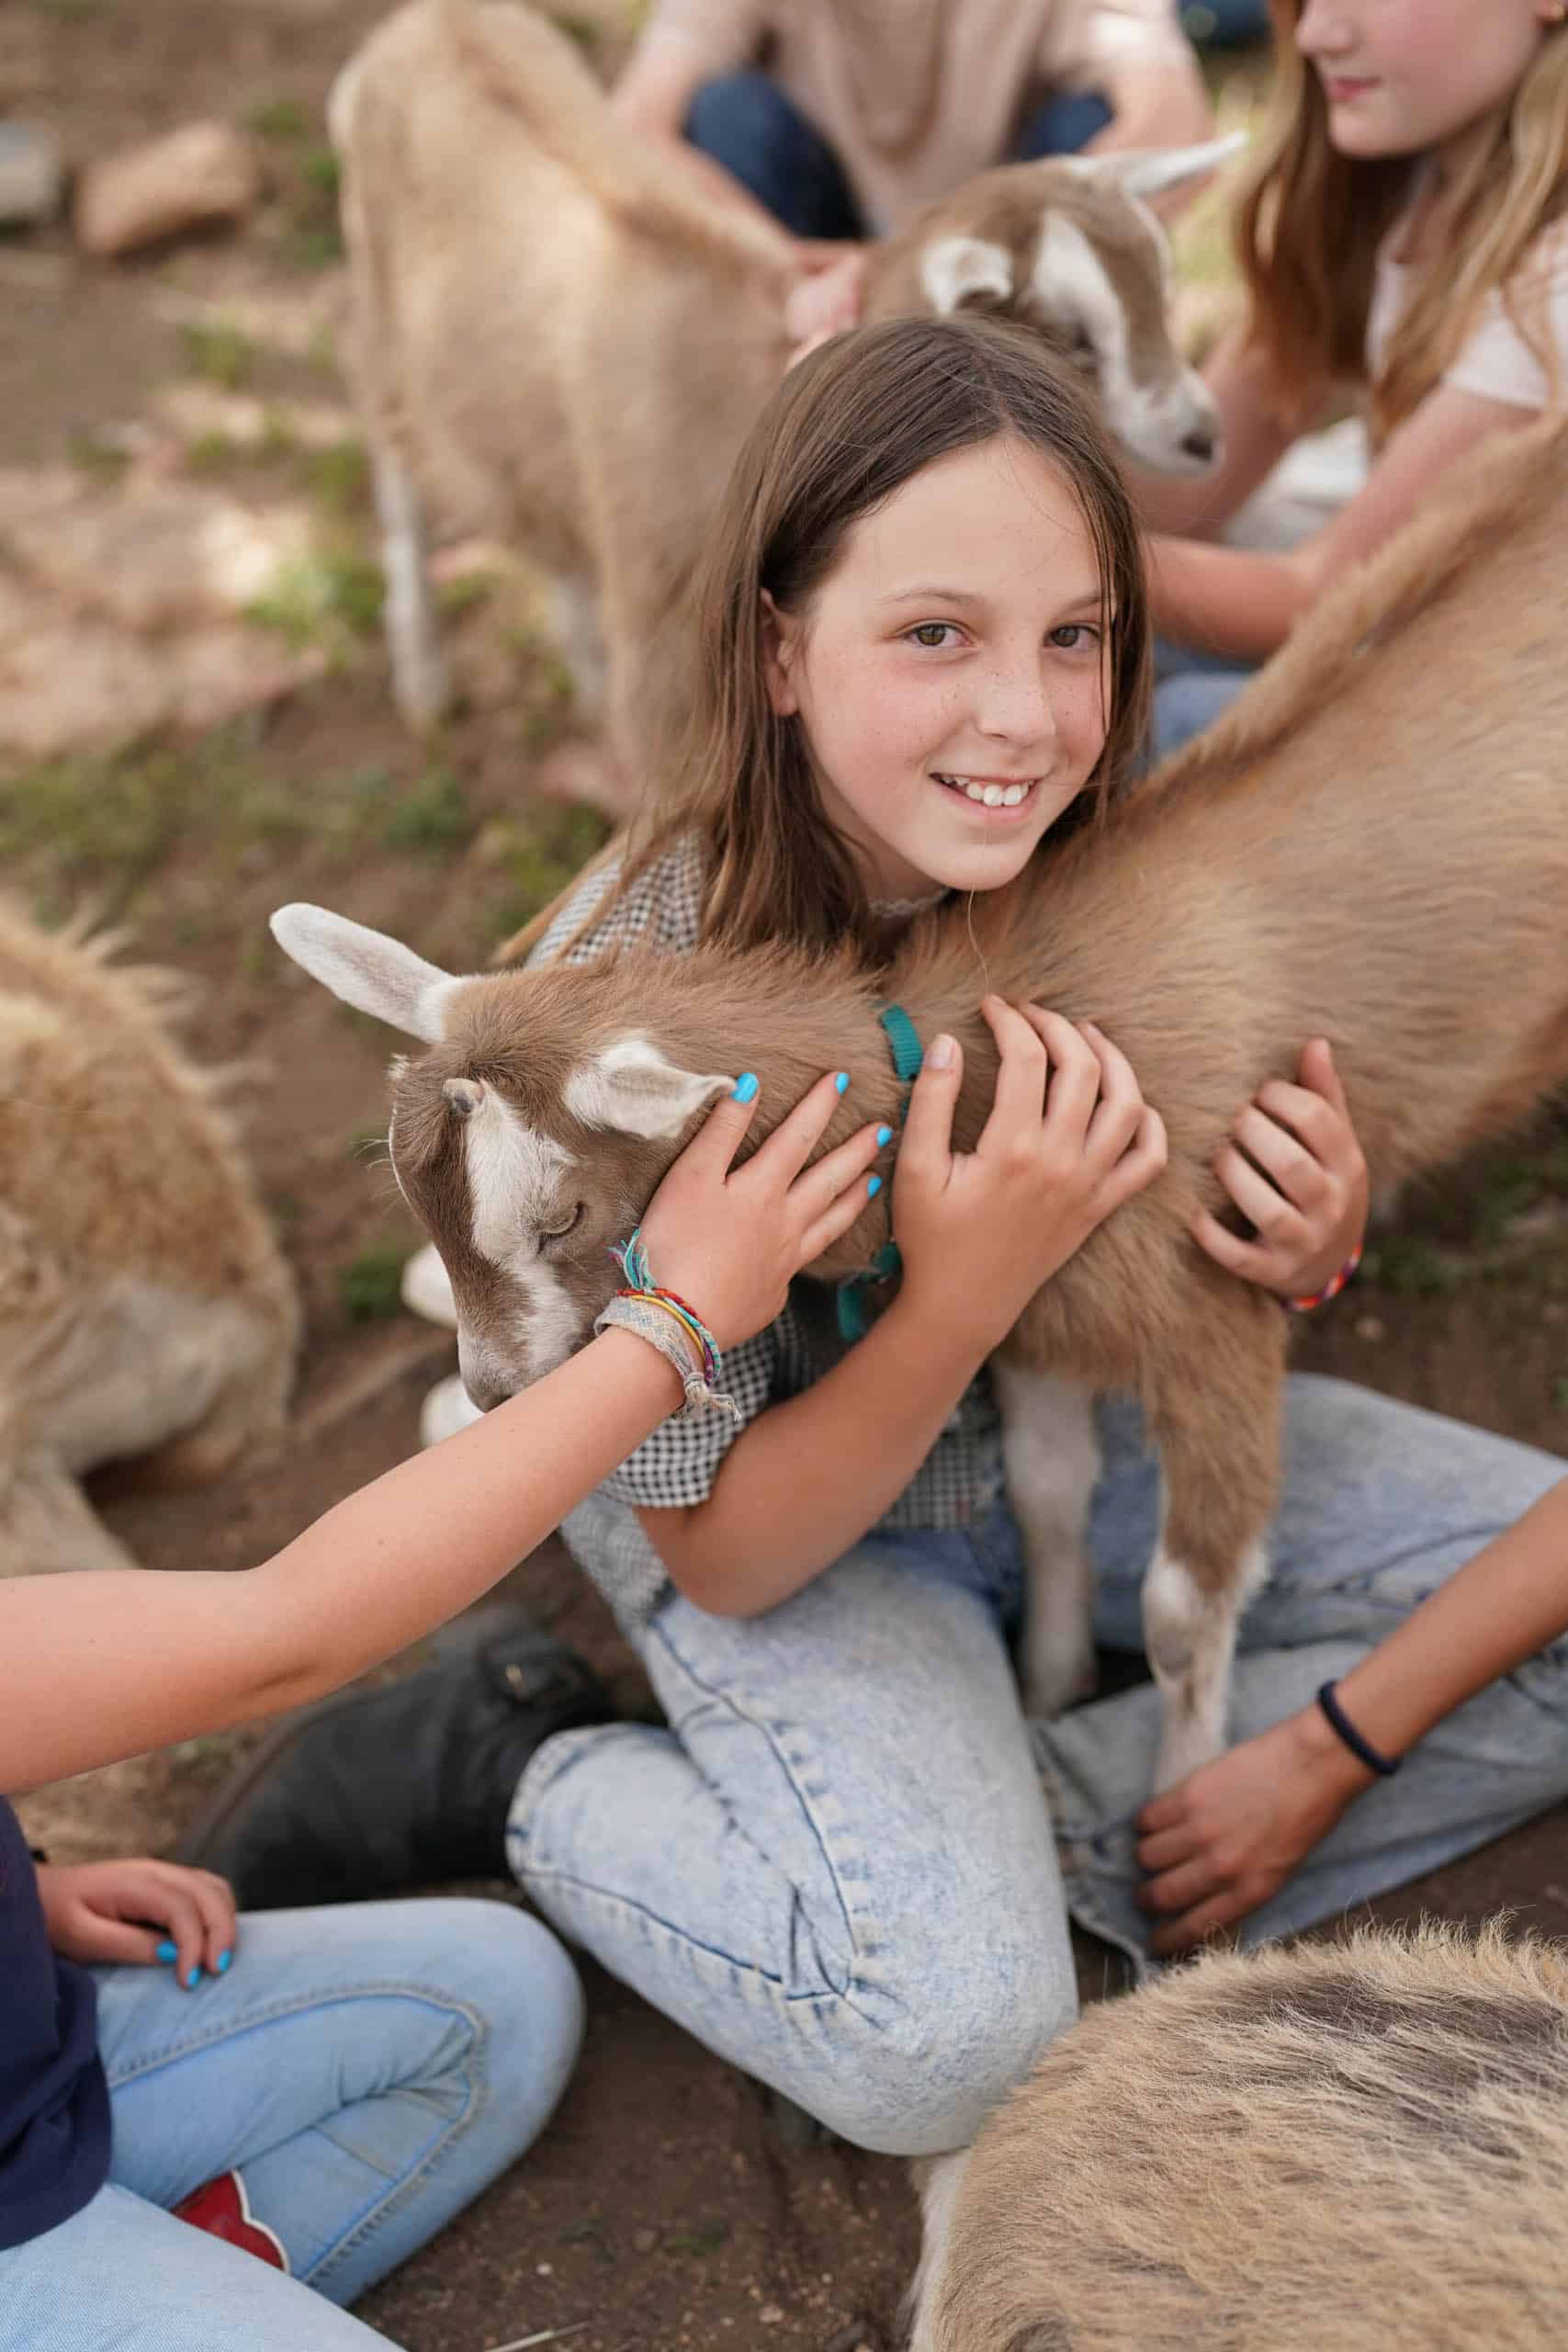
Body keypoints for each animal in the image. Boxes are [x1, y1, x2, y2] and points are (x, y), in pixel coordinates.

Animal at [330, 0, 1229, 810]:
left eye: (1163, 290)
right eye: (1068, 337)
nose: (1203, 437)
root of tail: (420, 25)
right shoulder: (663, 683)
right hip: (380, 332)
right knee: (401, 483)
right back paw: (424, 677)